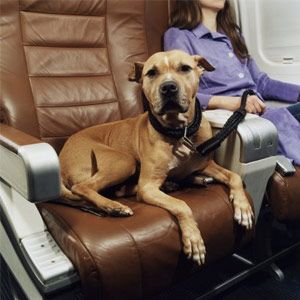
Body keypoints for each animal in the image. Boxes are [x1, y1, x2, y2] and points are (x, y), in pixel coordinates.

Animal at [59, 50, 254, 266]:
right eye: (151, 72)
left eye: (185, 68)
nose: (168, 87)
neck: (178, 132)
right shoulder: (149, 186)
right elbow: (181, 205)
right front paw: (193, 239)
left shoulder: (205, 164)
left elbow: (234, 176)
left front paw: (243, 208)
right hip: (123, 162)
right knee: (84, 187)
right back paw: (114, 207)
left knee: (118, 189)